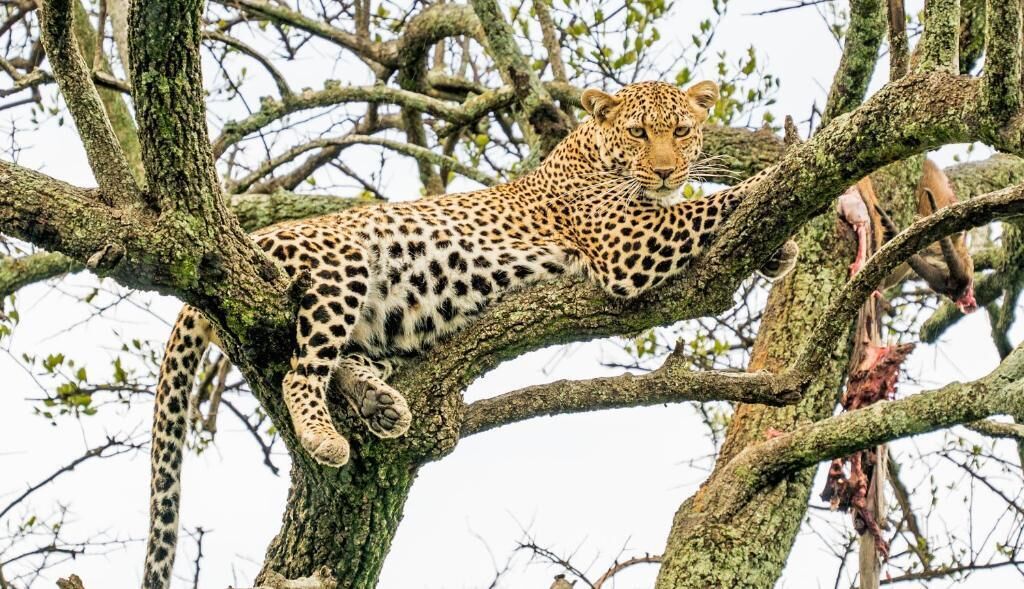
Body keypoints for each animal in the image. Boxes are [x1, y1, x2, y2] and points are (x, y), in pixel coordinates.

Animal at [142, 79, 798, 588]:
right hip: (342, 264)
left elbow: (704, 209)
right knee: (300, 371)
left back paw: (380, 403)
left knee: (343, 358)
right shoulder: (626, 243)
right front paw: (772, 182)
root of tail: (254, 236)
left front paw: (779, 252)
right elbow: (710, 203)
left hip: (374, 325)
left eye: (682, 130)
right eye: (639, 134)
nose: (665, 170)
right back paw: (324, 435)